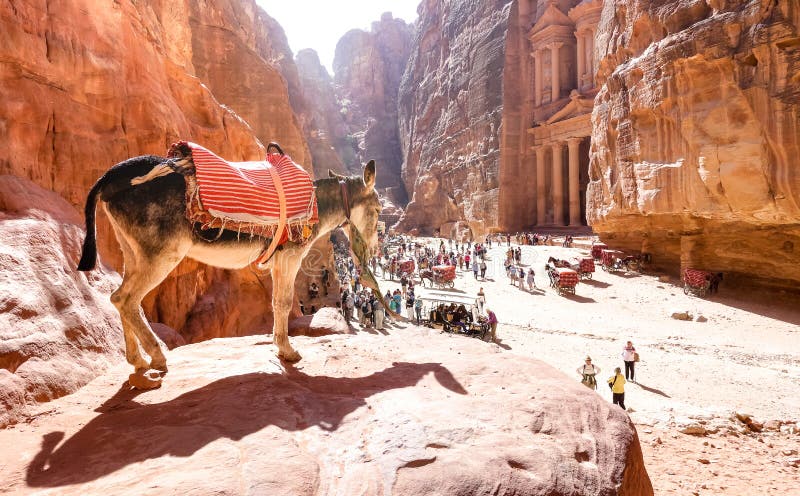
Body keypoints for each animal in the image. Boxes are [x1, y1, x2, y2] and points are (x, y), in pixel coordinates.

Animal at [78, 149, 382, 390]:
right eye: (379, 209)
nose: (373, 251)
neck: (315, 205)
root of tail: (111, 177)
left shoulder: (278, 261)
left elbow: (276, 302)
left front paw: (280, 347)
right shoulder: (290, 257)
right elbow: (284, 303)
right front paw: (287, 351)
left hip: (132, 252)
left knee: (120, 297)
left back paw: (138, 361)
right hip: (160, 254)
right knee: (126, 299)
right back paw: (157, 356)